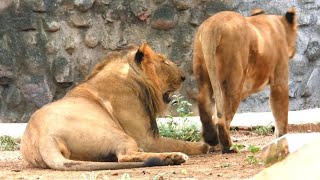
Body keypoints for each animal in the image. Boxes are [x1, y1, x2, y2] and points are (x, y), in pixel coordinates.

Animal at [21, 43, 209, 170]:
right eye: (164, 62)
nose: (184, 77)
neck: (131, 76)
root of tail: (44, 137)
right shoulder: (146, 139)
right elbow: (182, 143)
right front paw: (205, 146)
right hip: (116, 133)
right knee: (125, 156)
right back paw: (174, 157)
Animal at [192, 7, 298, 153]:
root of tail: (212, 27)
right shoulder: (279, 79)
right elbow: (280, 112)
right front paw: (282, 139)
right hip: (234, 78)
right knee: (223, 118)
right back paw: (229, 146)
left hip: (202, 68)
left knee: (203, 100)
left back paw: (211, 140)